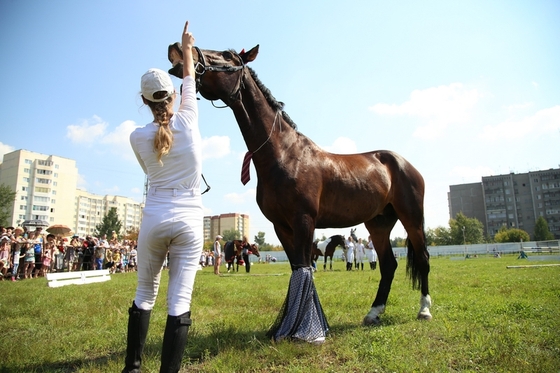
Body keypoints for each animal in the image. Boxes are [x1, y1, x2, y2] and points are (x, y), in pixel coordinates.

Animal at [168, 43, 430, 340]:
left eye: (227, 56)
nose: (178, 50)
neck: (284, 154)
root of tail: (403, 163)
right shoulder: (281, 225)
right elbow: (297, 267)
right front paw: (285, 326)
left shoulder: (304, 219)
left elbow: (305, 267)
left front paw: (307, 330)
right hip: (379, 223)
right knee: (388, 266)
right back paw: (374, 313)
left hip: (412, 217)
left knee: (422, 258)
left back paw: (424, 310)